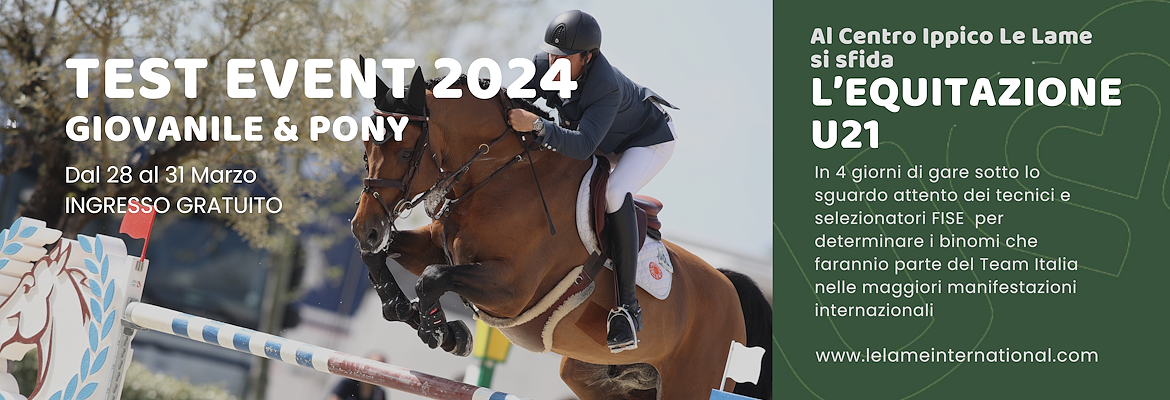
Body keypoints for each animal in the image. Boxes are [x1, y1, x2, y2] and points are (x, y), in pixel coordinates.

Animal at [350, 67, 772, 400]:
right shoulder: (437, 247)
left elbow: (432, 278)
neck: (499, 176)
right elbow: (383, 259)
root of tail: (730, 289)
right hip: (598, 378)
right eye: (366, 145)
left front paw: (442, 333)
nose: (364, 229)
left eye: (406, 153)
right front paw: (403, 309)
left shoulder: (511, 290)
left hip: (692, 383)